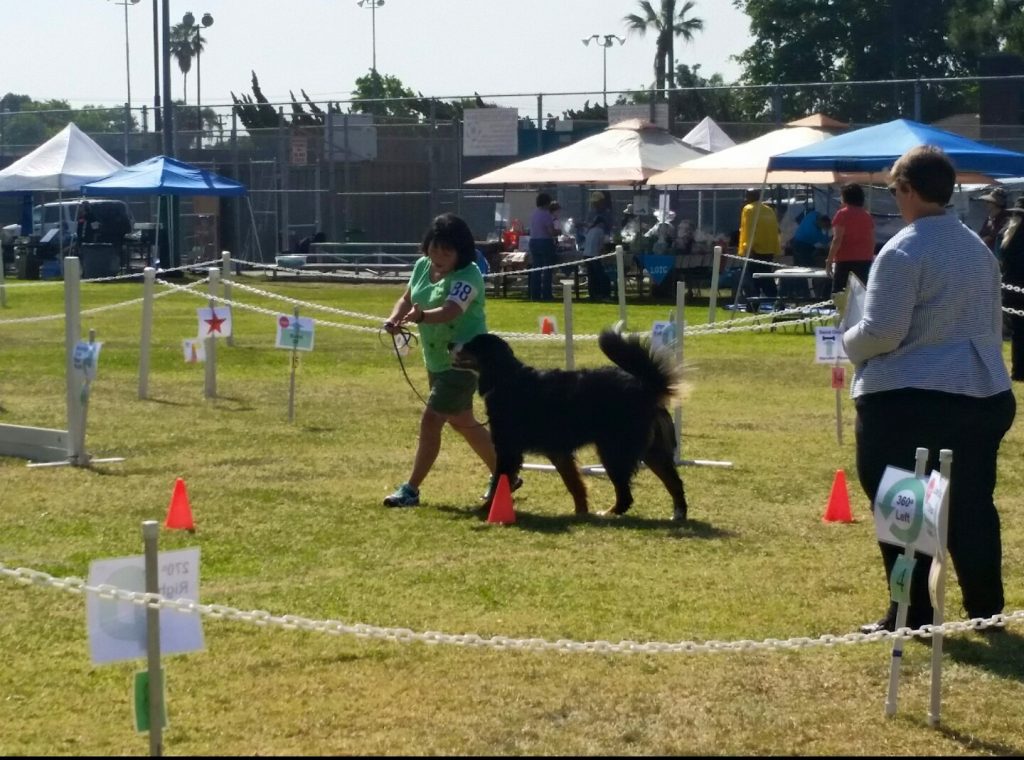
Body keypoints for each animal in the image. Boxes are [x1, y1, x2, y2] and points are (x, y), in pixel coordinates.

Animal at [454, 329, 688, 520]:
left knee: (626, 494)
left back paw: (609, 513)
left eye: (471, 345)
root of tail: (645, 387)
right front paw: (580, 512)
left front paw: (485, 510)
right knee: (674, 482)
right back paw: (678, 514)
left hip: (614, 451)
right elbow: (574, 484)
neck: (505, 378)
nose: (450, 344)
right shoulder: (558, 452)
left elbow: (499, 483)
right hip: (652, 451)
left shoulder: (508, 449)